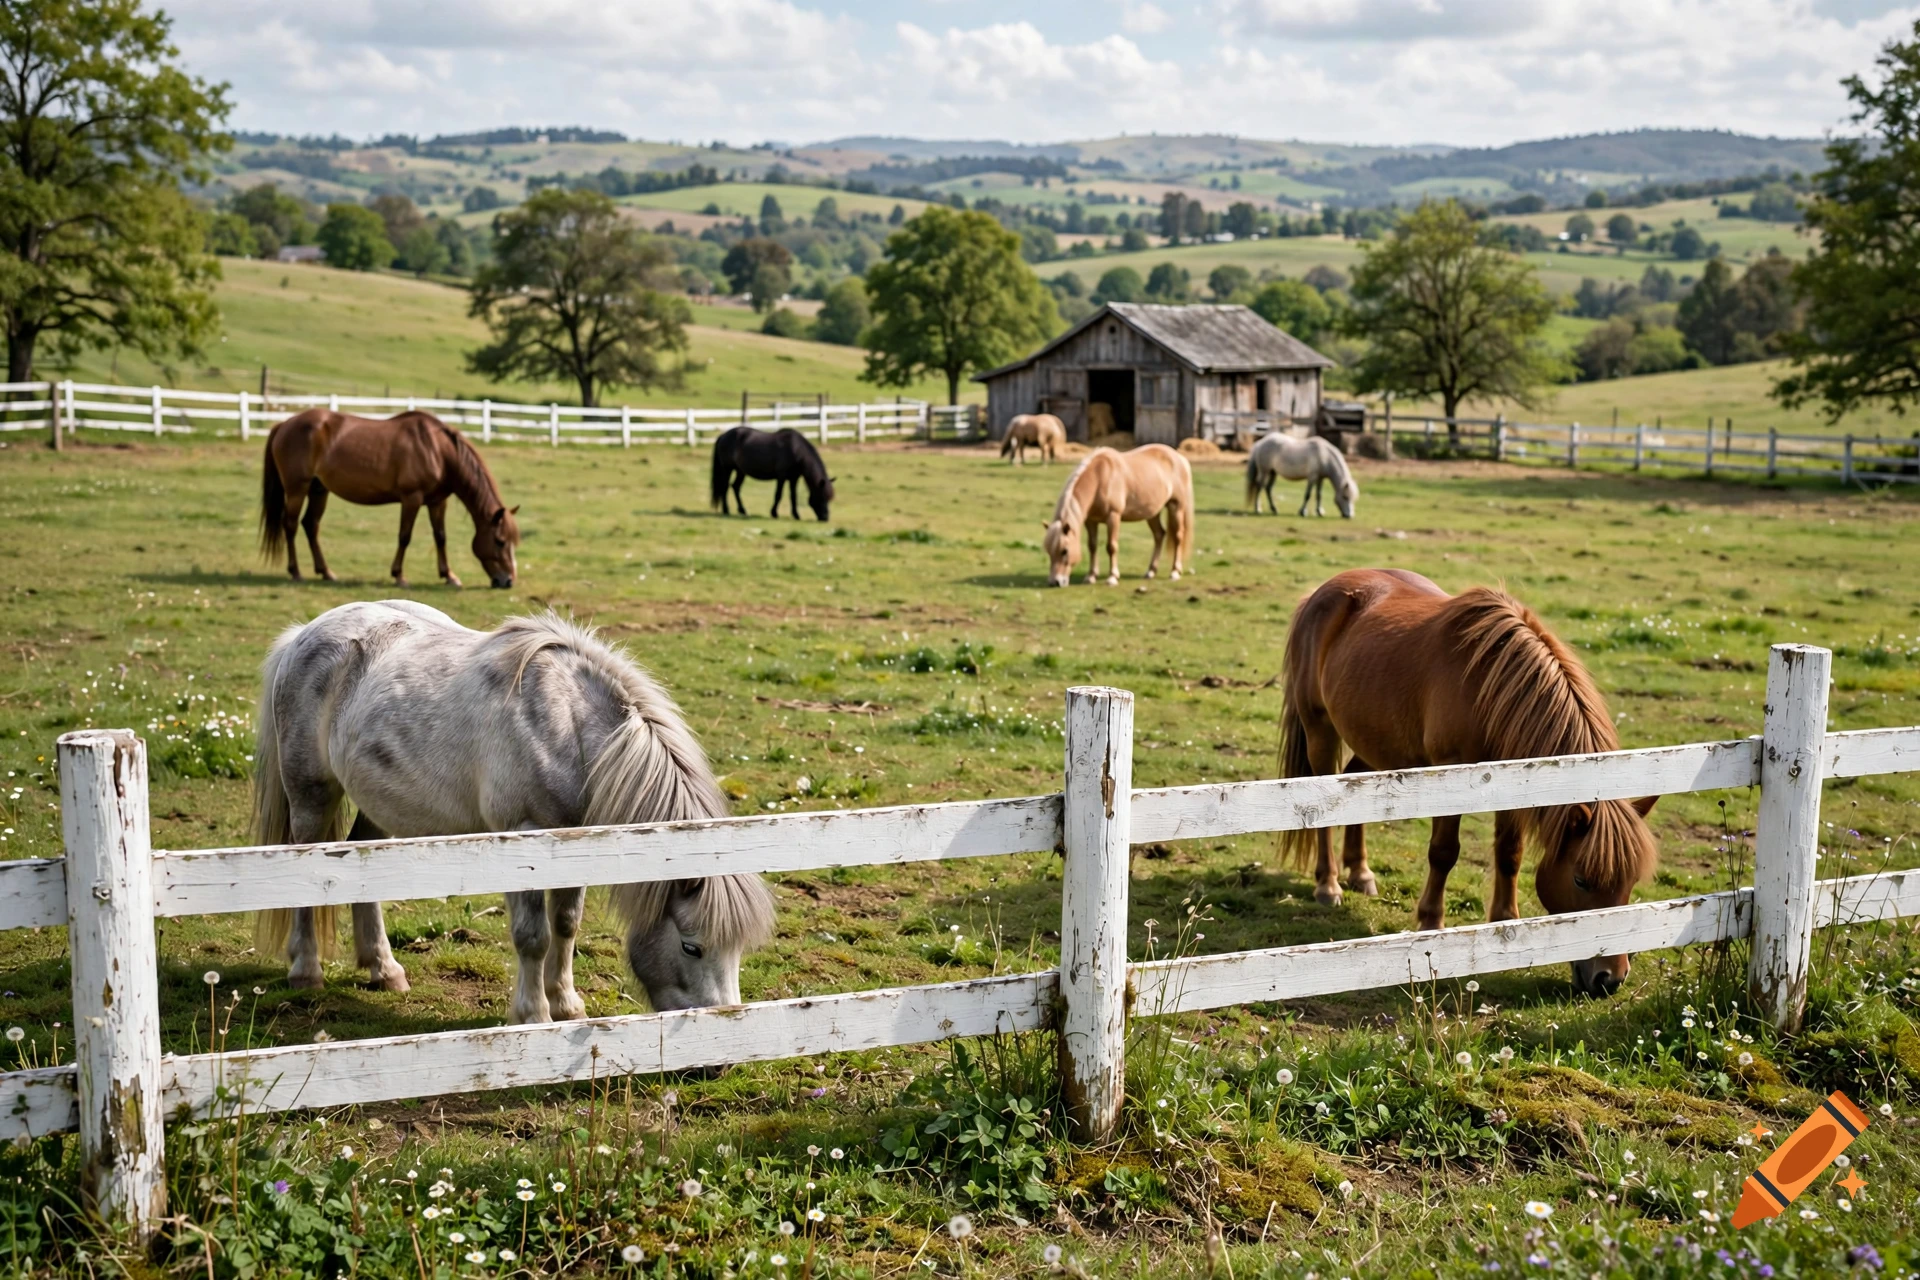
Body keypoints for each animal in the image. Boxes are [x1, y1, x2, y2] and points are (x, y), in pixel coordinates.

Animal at [251, 601, 776, 1021]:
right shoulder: (523, 838)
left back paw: (384, 969)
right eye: (692, 946)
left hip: (382, 805)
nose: (718, 1059)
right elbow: (532, 936)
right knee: (304, 870)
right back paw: (306, 971)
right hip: (310, 794)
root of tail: (303, 632)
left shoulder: (578, 842)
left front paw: (566, 1004)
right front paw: (534, 1015)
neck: (569, 730)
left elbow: (566, 925)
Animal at [260, 409, 520, 588]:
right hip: (297, 489)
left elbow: (440, 537)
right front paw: (399, 576)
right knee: (291, 525)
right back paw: (295, 572)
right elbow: (404, 537)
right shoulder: (411, 498)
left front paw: (449, 576)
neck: (438, 450)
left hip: (318, 490)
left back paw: (326, 572)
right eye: (499, 541)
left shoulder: (437, 502)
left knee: (311, 525)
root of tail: (284, 423)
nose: (507, 581)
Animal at [1042, 444, 1193, 587]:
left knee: (1178, 537)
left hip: (1176, 507)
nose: (1055, 582)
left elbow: (1111, 546)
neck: (1100, 477)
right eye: (1048, 551)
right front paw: (1091, 576)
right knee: (1159, 535)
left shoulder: (1113, 517)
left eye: (1064, 551)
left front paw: (1112, 577)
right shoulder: (1091, 521)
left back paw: (1175, 572)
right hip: (1152, 513)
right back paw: (1151, 571)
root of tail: (1180, 458)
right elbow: (1092, 546)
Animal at [1278, 569, 1658, 998]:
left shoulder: (1520, 782)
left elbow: (1510, 853)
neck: (1490, 689)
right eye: (1581, 879)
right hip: (1319, 728)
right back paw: (1328, 886)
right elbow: (1444, 853)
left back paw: (1361, 873)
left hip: (1375, 742)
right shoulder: (1451, 773)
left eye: (1630, 881)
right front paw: (1431, 922)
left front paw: (1505, 920)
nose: (1610, 978)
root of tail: (1324, 590)